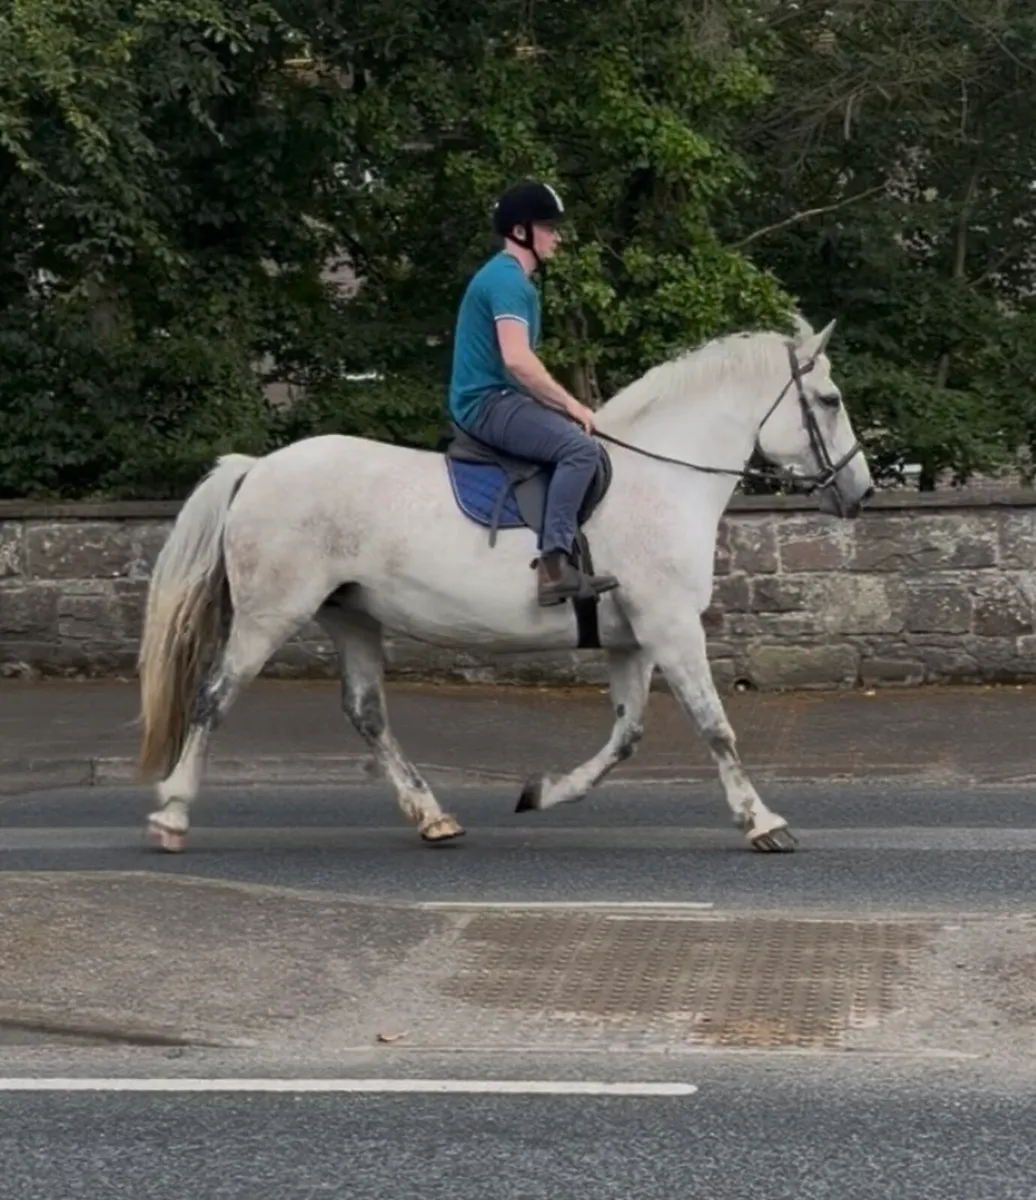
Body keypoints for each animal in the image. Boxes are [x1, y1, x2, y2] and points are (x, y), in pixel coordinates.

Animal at [137, 316, 873, 855]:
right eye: (831, 400)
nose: (862, 492)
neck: (662, 479)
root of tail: (257, 467)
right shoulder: (669, 626)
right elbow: (715, 726)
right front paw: (763, 821)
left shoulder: (632, 639)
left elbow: (627, 735)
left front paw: (541, 792)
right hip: (271, 614)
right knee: (213, 699)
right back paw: (172, 814)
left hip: (351, 616)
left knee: (367, 714)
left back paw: (432, 815)